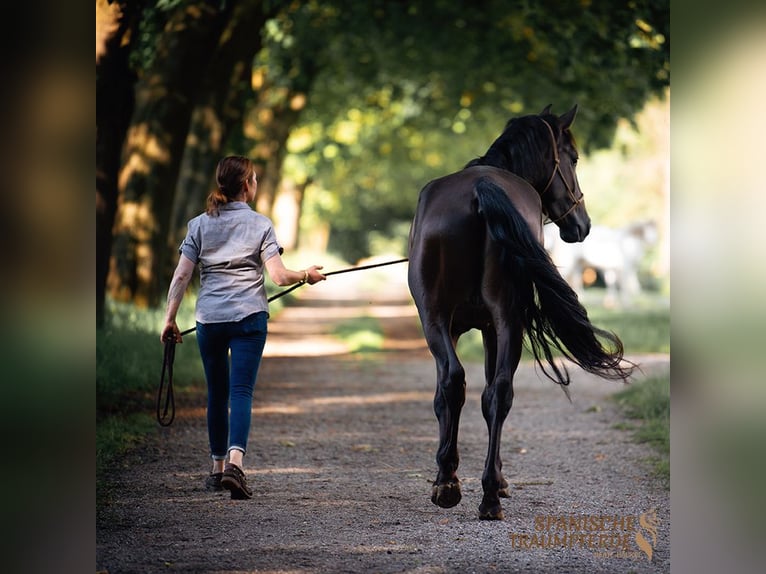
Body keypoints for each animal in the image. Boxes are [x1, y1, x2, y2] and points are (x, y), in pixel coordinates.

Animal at [408, 103, 636, 520]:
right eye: (573, 158)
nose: (583, 224)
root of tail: (480, 191)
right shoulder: (478, 328)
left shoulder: (478, 328)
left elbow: (451, 394)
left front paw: (466, 476)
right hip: (490, 321)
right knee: (491, 391)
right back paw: (480, 493)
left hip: (456, 320)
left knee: (467, 385)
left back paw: (464, 489)